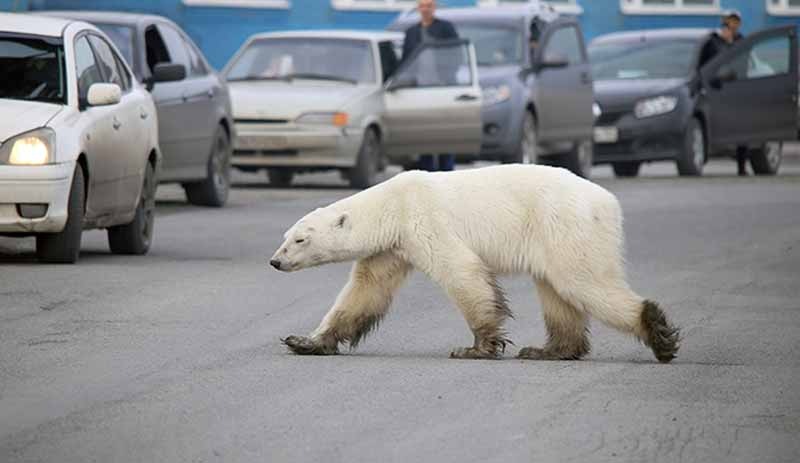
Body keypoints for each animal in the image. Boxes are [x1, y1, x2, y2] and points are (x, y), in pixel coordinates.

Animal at [270, 165, 680, 364]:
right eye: (286, 235)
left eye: (300, 239)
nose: (275, 261)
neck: (393, 205)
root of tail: (608, 201)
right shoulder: (392, 248)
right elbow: (365, 291)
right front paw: (304, 341)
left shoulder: (424, 221)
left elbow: (462, 272)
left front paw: (477, 348)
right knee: (557, 292)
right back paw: (548, 350)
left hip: (564, 224)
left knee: (583, 281)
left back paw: (658, 333)